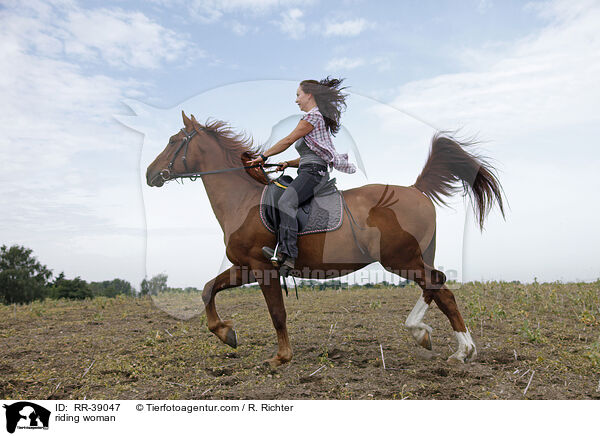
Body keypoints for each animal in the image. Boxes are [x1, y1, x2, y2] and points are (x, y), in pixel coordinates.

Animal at [146, 110, 506, 366]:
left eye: (173, 140)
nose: (150, 174)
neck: (243, 201)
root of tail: (415, 188)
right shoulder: (247, 266)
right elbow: (208, 290)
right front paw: (226, 334)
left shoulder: (262, 267)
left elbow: (277, 313)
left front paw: (281, 357)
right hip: (414, 258)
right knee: (439, 290)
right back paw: (441, 342)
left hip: (401, 259)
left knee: (440, 287)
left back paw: (451, 344)